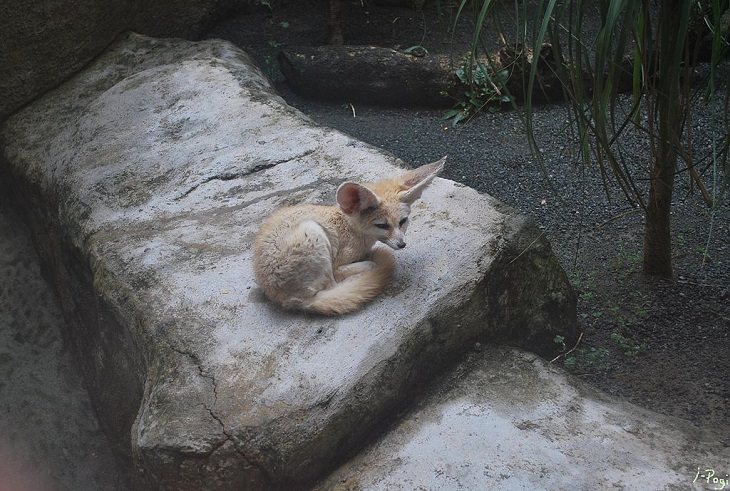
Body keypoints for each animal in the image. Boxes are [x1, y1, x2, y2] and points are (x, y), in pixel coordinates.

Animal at [252, 159, 444, 320]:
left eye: (403, 222)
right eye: (382, 225)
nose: (402, 244)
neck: (351, 229)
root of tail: (288, 299)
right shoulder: (339, 263)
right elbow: (361, 266)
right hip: (313, 232)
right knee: (334, 286)